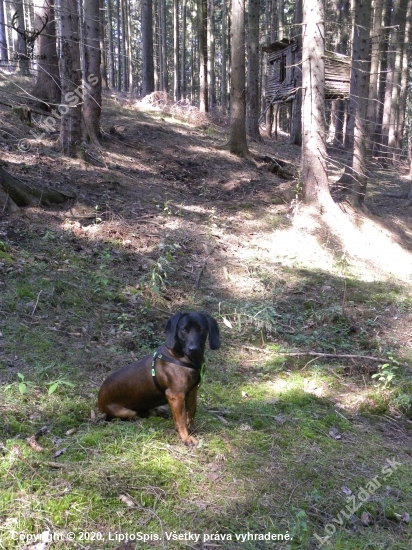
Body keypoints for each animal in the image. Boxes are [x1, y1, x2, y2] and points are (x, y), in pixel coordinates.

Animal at [98, 312, 220, 446]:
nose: (193, 349)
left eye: (201, 329)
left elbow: (192, 413)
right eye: (183, 329)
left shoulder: (192, 392)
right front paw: (186, 437)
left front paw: (192, 428)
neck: (187, 359)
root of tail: (99, 399)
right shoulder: (176, 396)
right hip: (126, 411)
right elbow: (181, 419)